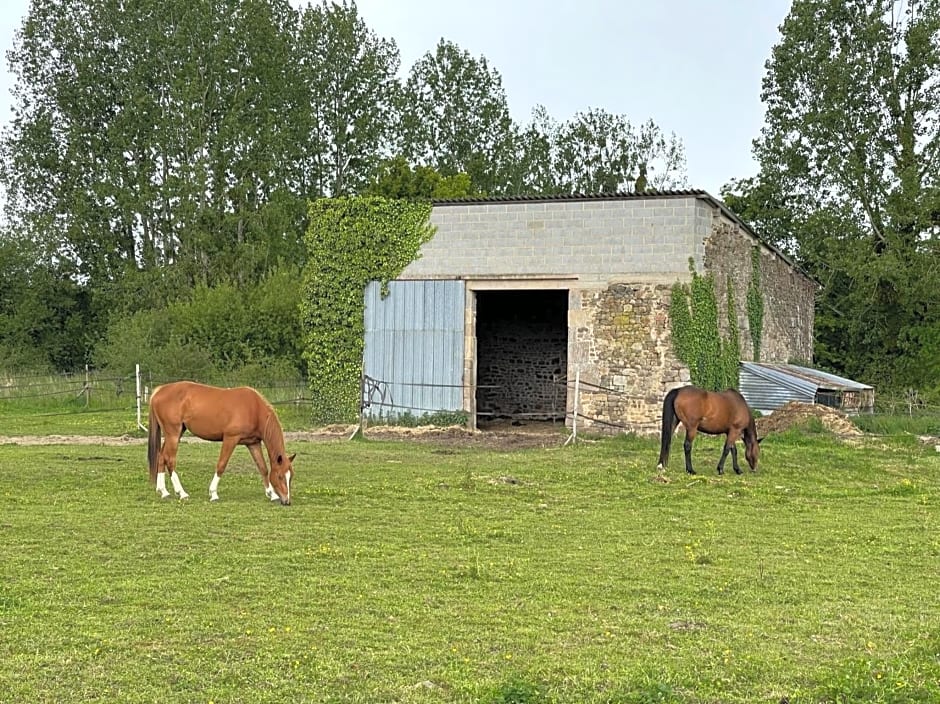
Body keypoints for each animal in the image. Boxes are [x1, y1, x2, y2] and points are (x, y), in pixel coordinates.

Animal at [149, 382, 296, 504]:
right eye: (280, 476)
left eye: (291, 477)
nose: (287, 501)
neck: (253, 408)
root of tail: (159, 390)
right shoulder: (231, 439)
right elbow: (221, 465)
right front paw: (213, 493)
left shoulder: (253, 443)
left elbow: (263, 468)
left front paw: (272, 494)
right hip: (173, 434)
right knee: (170, 460)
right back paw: (182, 493)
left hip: (175, 433)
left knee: (161, 457)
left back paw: (163, 491)